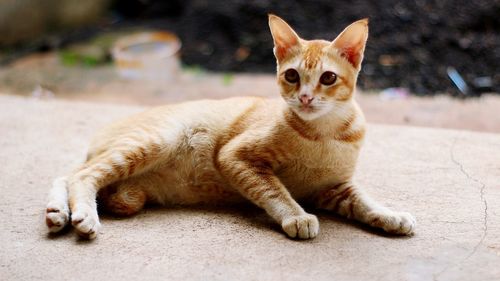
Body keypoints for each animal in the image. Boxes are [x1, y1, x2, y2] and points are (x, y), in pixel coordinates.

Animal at [46, 14, 414, 238]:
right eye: (291, 76)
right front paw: (296, 216)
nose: (306, 97)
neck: (324, 133)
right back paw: (82, 215)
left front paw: (390, 216)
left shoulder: (335, 188)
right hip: (151, 142)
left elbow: (364, 202)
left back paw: (57, 212)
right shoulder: (235, 157)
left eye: (328, 78)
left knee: (67, 174)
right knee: (81, 174)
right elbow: (274, 191)